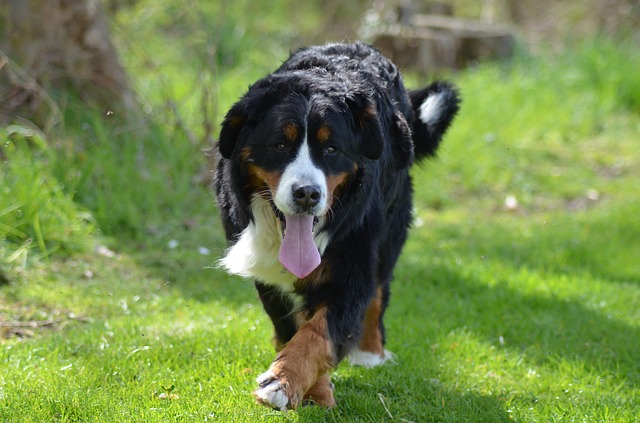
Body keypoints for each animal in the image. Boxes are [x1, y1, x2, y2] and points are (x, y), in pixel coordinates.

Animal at [215, 43, 460, 410]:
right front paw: (311, 389)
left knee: (378, 291)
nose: (307, 193)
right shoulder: (268, 276)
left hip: (389, 231)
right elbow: (293, 329)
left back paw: (371, 353)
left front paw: (283, 383)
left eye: (331, 149)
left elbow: (319, 333)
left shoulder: (351, 266)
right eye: (280, 145)